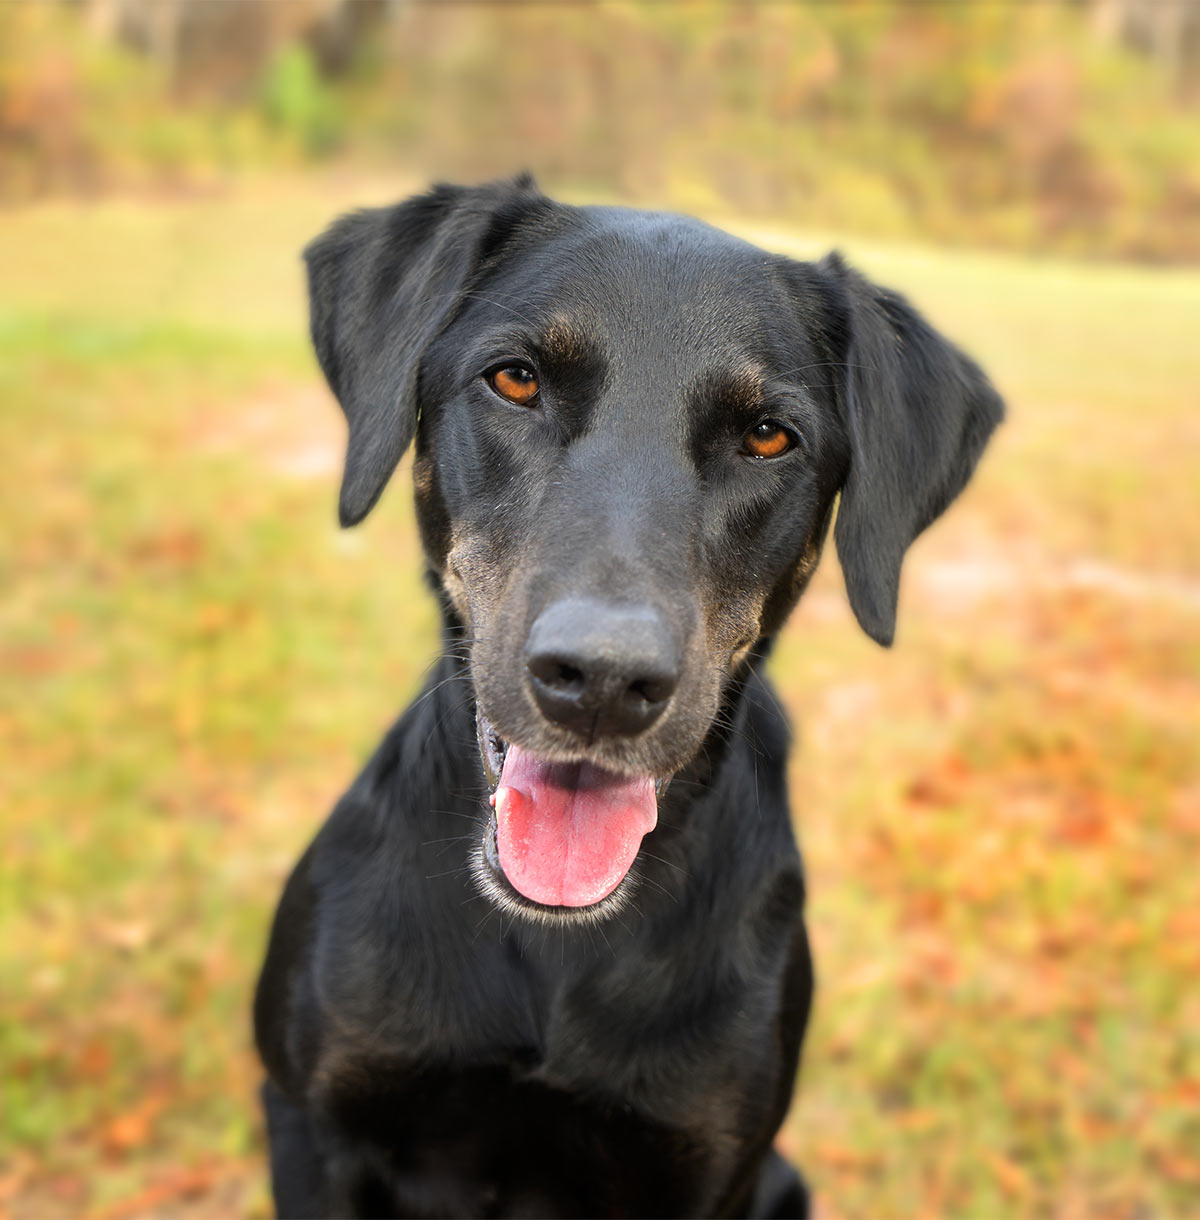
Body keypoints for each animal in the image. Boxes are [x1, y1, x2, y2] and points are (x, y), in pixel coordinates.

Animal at [253, 174, 1004, 1220]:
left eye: (767, 436)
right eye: (515, 381)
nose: (603, 681)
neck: (552, 946)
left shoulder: (706, 1168)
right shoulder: (312, 1120)